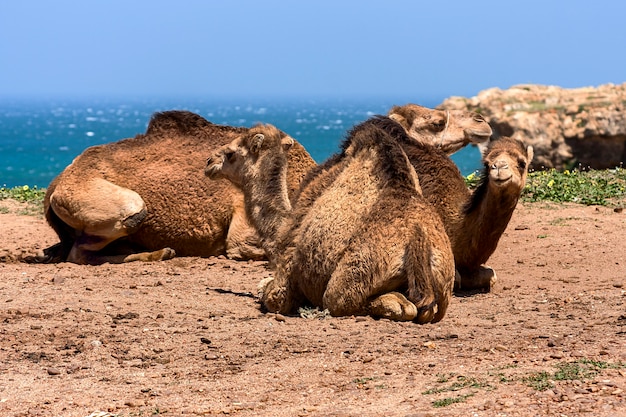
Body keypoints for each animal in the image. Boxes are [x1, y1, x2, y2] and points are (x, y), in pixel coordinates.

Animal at [206, 116, 454, 322]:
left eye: (231, 153)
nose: (208, 162)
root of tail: (417, 238)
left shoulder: (286, 273)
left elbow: (269, 292)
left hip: (352, 277)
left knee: (349, 302)